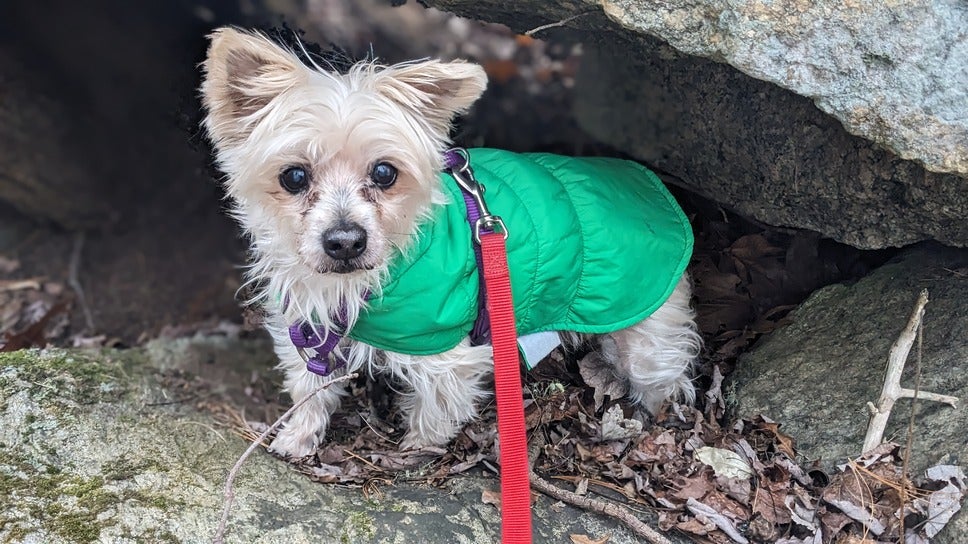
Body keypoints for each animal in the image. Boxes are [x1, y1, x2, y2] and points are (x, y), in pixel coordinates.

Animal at [200, 27, 700, 456]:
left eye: (385, 172)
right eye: (294, 176)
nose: (345, 241)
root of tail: (651, 186)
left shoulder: (443, 352)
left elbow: (436, 409)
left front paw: (417, 449)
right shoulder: (309, 324)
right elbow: (309, 389)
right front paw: (299, 436)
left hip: (644, 331)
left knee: (665, 376)